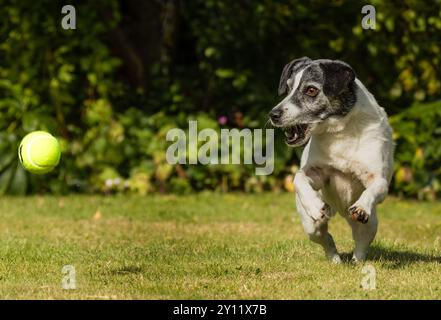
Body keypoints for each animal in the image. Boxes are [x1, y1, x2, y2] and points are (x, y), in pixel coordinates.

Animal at [270, 57, 394, 262]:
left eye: (311, 90)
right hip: (312, 227)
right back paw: (335, 259)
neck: (339, 133)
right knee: (325, 238)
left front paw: (361, 206)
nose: (273, 114)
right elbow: (298, 177)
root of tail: (341, 210)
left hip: (370, 225)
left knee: (361, 244)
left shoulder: (378, 180)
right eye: (288, 88)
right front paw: (314, 205)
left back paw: (357, 261)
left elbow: (374, 189)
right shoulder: (317, 173)